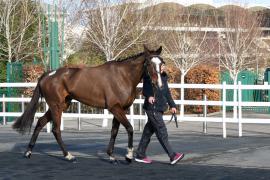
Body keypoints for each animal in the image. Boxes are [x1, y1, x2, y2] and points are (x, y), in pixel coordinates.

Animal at [12, 45, 165, 164]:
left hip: (62, 105)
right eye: (149, 63)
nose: (159, 84)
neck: (123, 76)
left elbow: (114, 131)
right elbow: (129, 128)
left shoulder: (120, 109)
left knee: (40, 122)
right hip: (56, 106)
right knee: (55, 129)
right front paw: (128, 156)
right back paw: (68, 156)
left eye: (162, 62)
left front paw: (111, 156)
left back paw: (28, 152)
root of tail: (48, 74)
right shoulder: (115, 108)